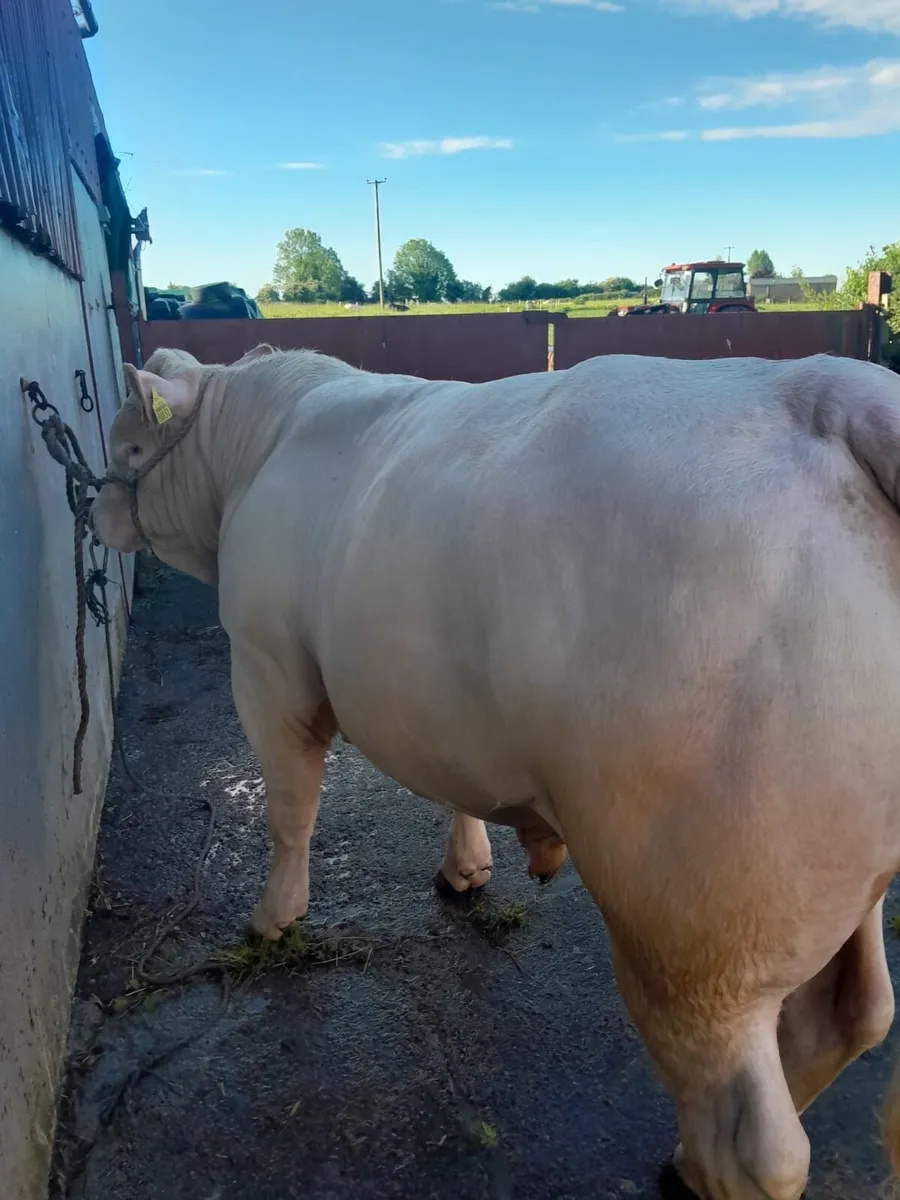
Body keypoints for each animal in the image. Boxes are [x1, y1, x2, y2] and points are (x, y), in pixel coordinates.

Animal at [91, 344, 900, 1199]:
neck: (251, 446)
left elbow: (289, 809)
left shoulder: (267, 665)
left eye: (131, 448)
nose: (93, 507)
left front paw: (275, 915)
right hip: (837, 870)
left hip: (694, 924)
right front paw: (466, 867)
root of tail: (831, 389)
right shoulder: (434, 700)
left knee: (754, 1139)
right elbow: (456, 784)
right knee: (850, 1016)